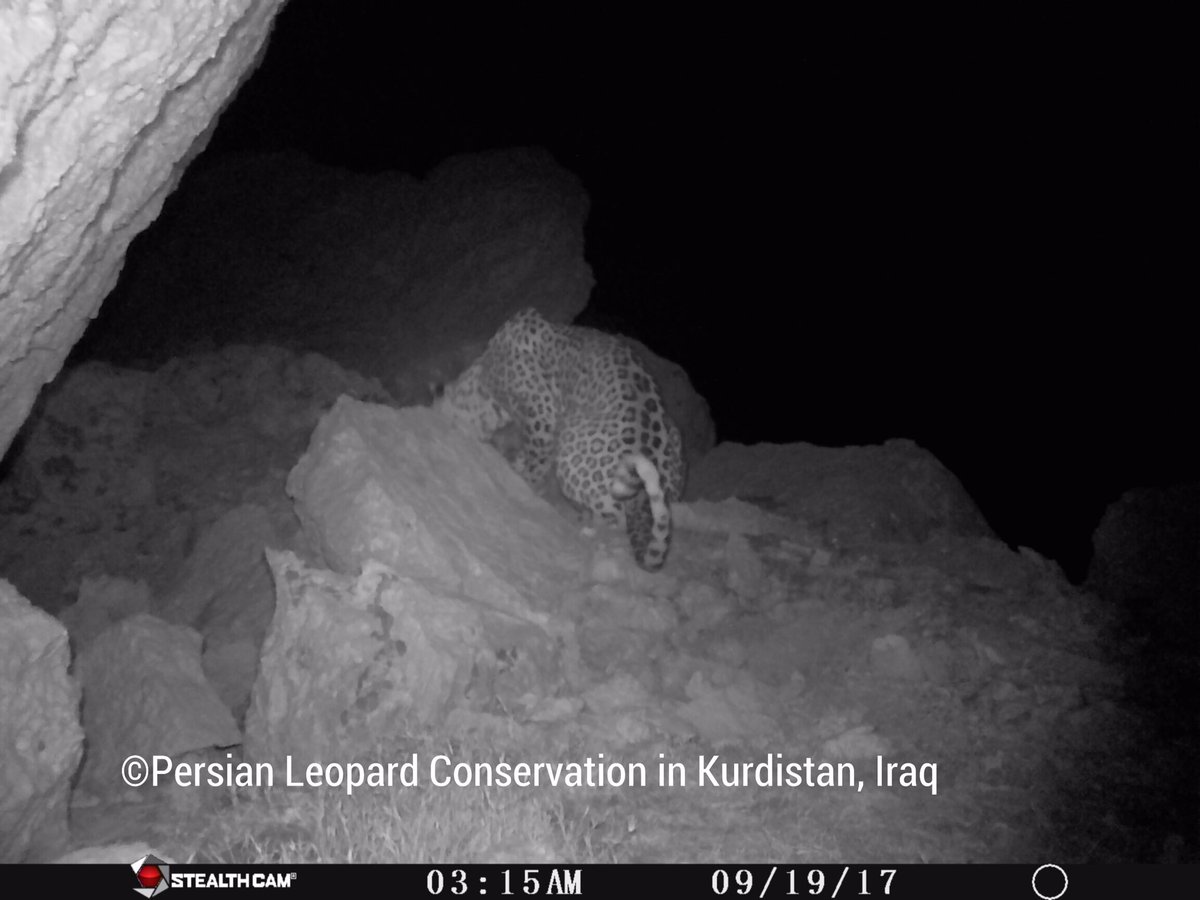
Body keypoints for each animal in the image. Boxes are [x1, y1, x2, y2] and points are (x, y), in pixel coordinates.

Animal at [434, 307, 685, 570]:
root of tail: (641, 502)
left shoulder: (541, 412)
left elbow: (536, 458)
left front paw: (523, 482)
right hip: (674, 440)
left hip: (571, 447)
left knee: (613, 522)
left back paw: (585, 526)